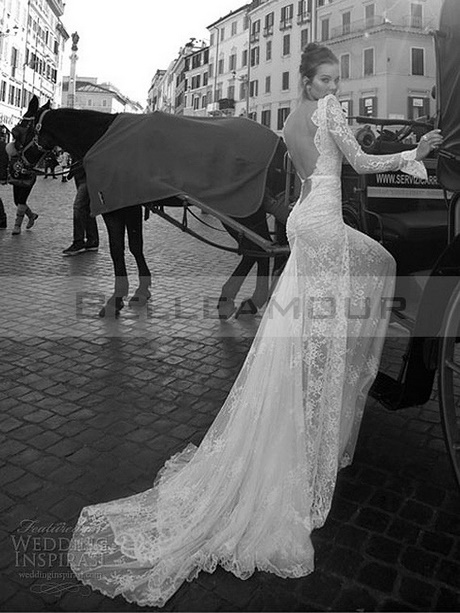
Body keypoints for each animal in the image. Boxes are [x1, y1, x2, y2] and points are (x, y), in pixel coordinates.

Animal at [13, 95, 288, 320]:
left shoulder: (115, 207)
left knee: (256, 249)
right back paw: (254, 299)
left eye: (17, 131)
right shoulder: (131, 205)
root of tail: (281, 144)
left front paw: (116, 299)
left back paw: (237, 298)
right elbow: (136, 246)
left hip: (241, 210)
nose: (16, 167)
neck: (101, 137)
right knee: (265, 249)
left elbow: (117, 249)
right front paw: (141, 290)